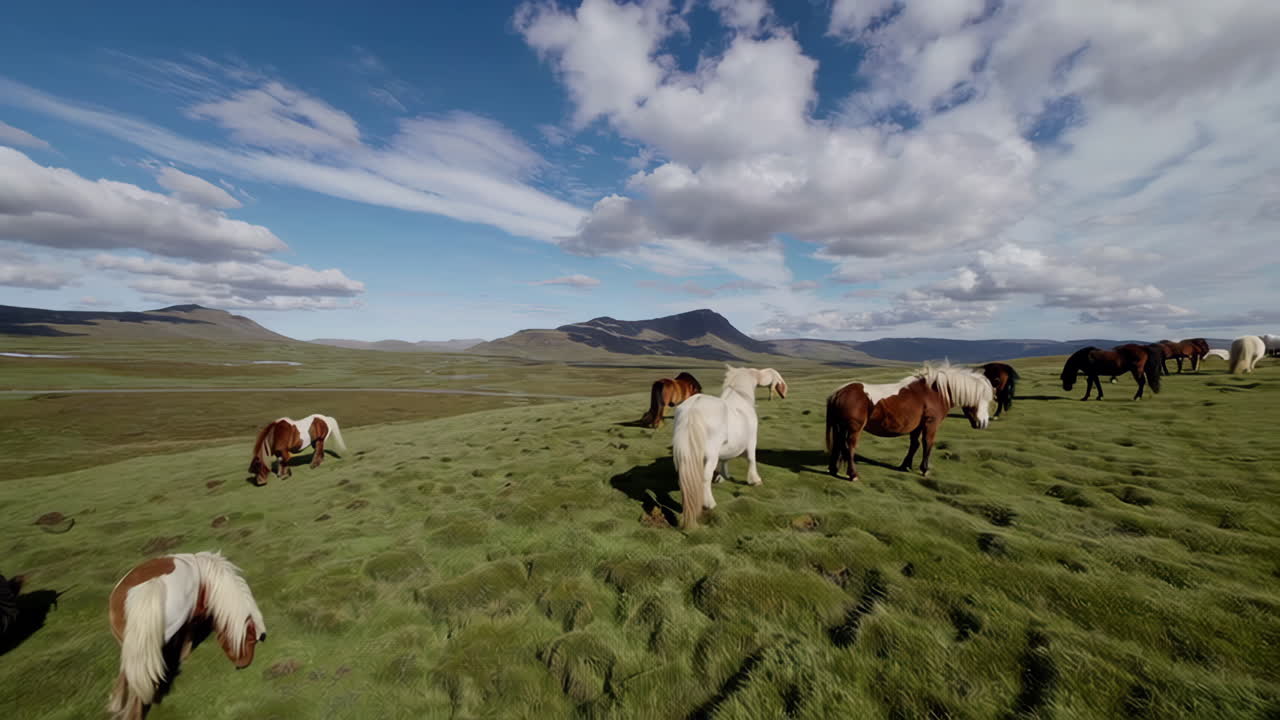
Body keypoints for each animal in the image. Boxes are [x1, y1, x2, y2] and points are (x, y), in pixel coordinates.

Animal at [108, 551, 266, 720]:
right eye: (249, 640)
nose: (242, 665)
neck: (206, 579)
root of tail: (150, 587)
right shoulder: (192, 618)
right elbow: (188, 637)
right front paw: (183, 656)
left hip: (130, 648)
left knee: (128, 677)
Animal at [672, 366, 787, 529]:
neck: (740, 399)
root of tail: (693, 408)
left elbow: (725, 460)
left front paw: (723, 476)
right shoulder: (752, 441)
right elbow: (752, 460)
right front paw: (755, 480)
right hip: (710, 456)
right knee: (705, 478)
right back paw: (709, 504)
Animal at [826, 362, 991, 482]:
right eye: (983, 399)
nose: (983, 423)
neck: (934, 393)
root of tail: (839, 393)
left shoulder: (917, 426)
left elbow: (914, 444)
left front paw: (906, 466)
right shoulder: (931, 423)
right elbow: (928, 443)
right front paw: (924, 469)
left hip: (841, 427)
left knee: (839, 444)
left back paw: (834, 469)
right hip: (854, 428)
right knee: (850, 447)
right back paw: (853, 474)